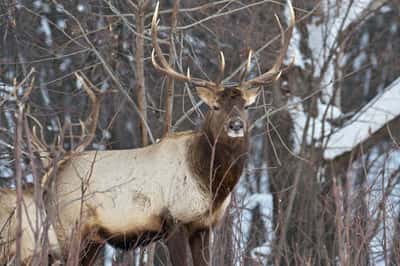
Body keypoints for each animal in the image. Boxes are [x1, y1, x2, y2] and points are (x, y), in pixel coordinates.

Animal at [0, 1, 294, 264]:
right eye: (215, 106)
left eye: (246, 106)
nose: (236, 125)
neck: (211, 185)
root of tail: (51, 180)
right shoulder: (174, 220)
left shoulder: (204, 226)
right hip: (66, 229)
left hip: (91, 240)